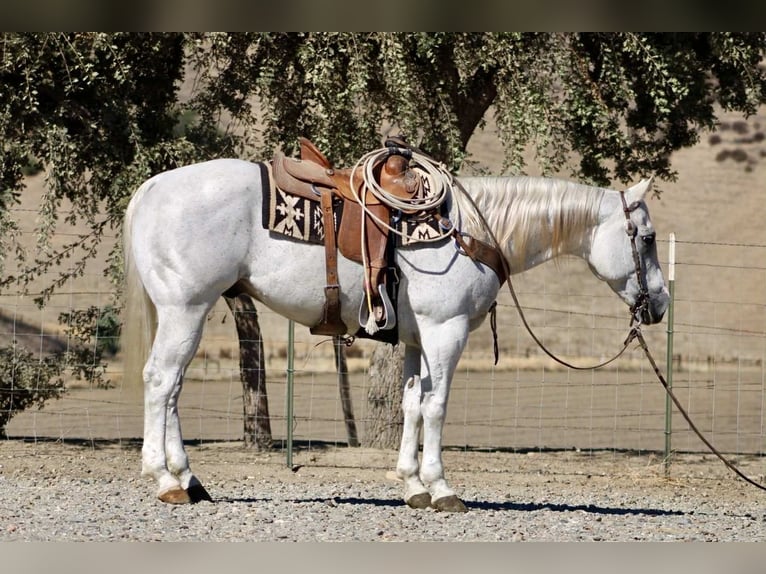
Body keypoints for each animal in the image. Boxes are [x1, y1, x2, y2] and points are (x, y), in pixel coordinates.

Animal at [122, 156, 669, 511]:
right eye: (646, 238)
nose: (661, 303)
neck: (472, 232)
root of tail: (154, 187)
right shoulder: (446, 331)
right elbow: (437, 406)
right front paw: (442, 489)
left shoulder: (416, 340)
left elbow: (411, 405)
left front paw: (412, 486)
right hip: (186, 308)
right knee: (160, 381)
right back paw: (165, 480)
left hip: (183, 313)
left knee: (172, 388)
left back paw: (189, 479)